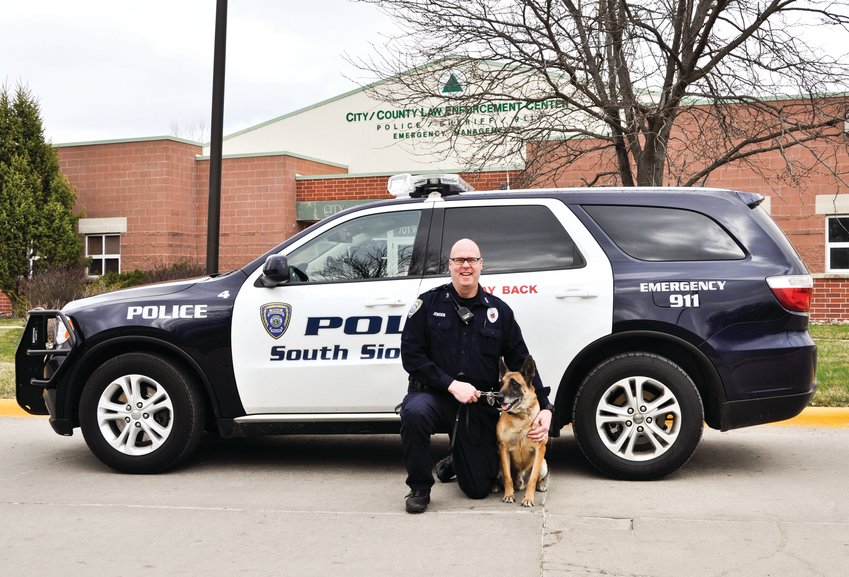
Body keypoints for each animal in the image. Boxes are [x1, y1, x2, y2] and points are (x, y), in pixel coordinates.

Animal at [494, 354, 548, 506]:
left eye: (514, 384)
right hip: (498, 464)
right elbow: (507, 477)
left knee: (538, 478)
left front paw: (528, 498)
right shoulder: (503, 448)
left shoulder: (540, 449)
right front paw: (508, 495)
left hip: (543, 464)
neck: (520, 418)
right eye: (501, 383)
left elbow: (533, 478)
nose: (498, 397)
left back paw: (541, 485)